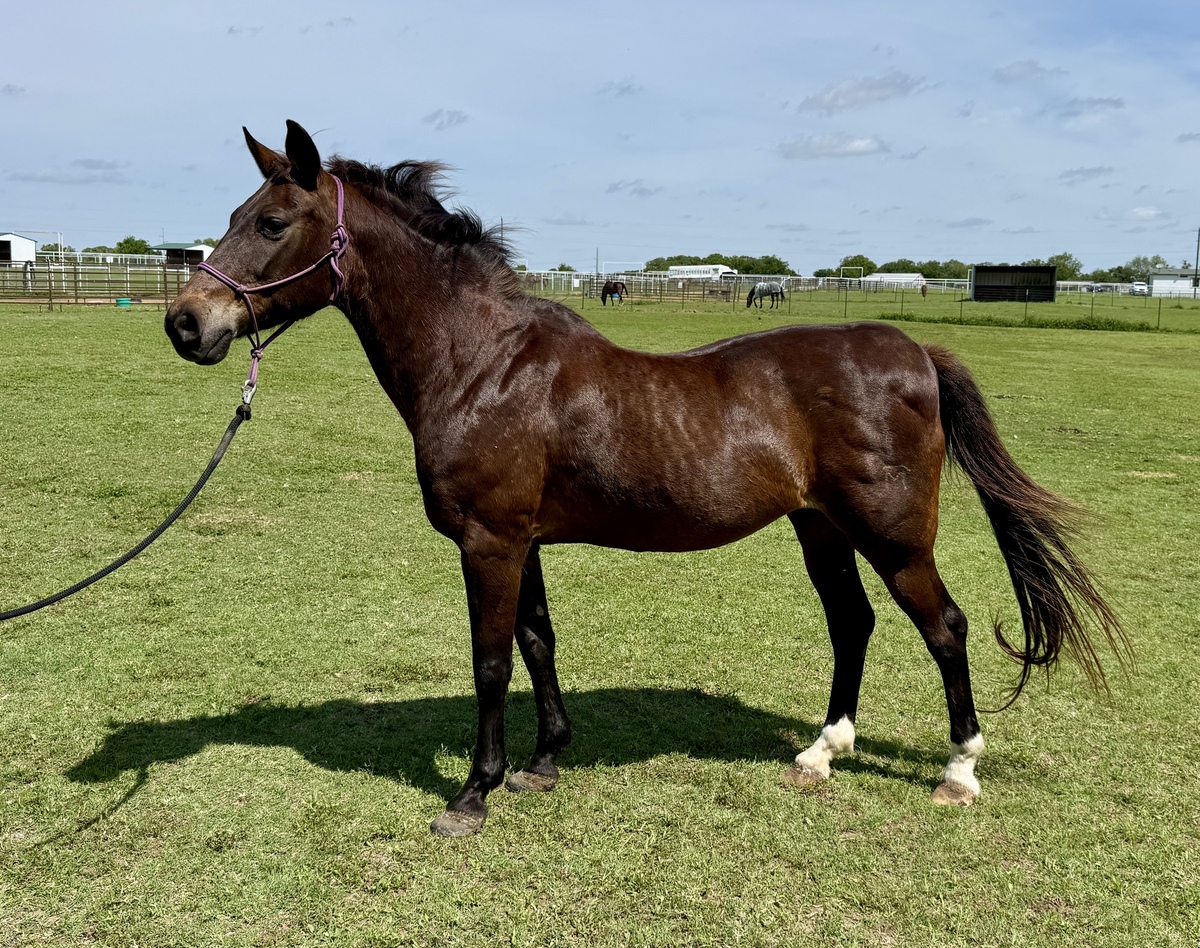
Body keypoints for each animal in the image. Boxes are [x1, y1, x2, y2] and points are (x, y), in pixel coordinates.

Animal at [165, 121, 1127, 837]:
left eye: (270, 224)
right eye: (237, 212)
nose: (185, 324)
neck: (482, 364)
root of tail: (913, 349)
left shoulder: (489, 541)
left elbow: (490, 661)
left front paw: (473, 793)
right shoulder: (523, 540)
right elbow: (538, 643)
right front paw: (543, 764)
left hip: (892, 536)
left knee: (945, 629)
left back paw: (959, 772)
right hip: (821, 528)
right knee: (852, 625)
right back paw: (819, 755)